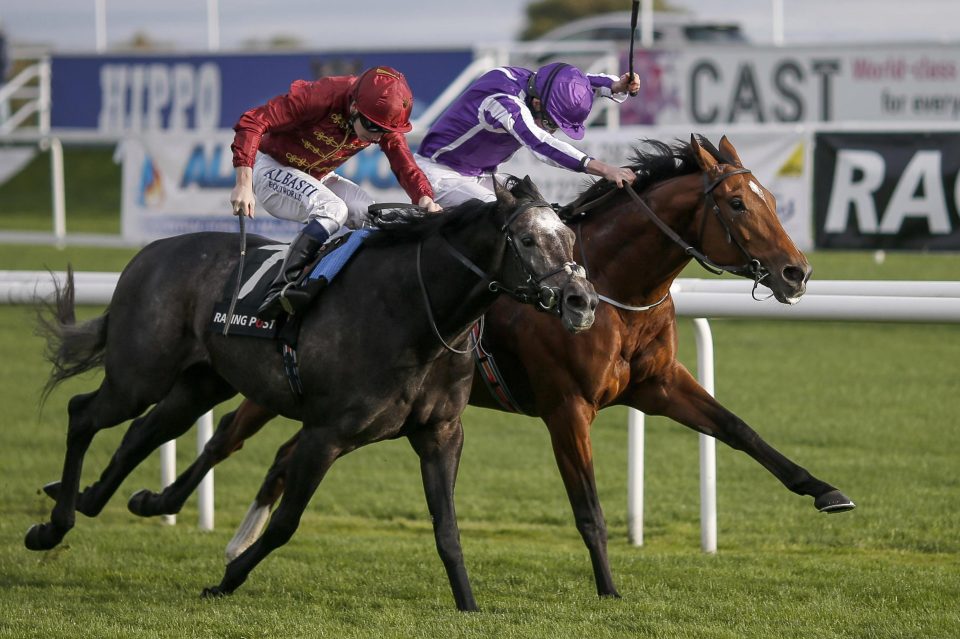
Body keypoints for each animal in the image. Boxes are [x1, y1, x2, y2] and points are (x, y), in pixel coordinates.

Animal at [26, 178, 596, 612]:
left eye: (570, 237)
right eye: (527, 239)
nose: (582, 301)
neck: (413, 311)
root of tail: (147, 254)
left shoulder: (440, 434)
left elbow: (448, 529)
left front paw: (469, 605)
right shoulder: (326, 434)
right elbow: (284, 522)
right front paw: (226, 580)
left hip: (200, 383)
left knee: (144, 432)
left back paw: (96, 501)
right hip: (139, 374)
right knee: (84, 414)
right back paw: (54, 527)